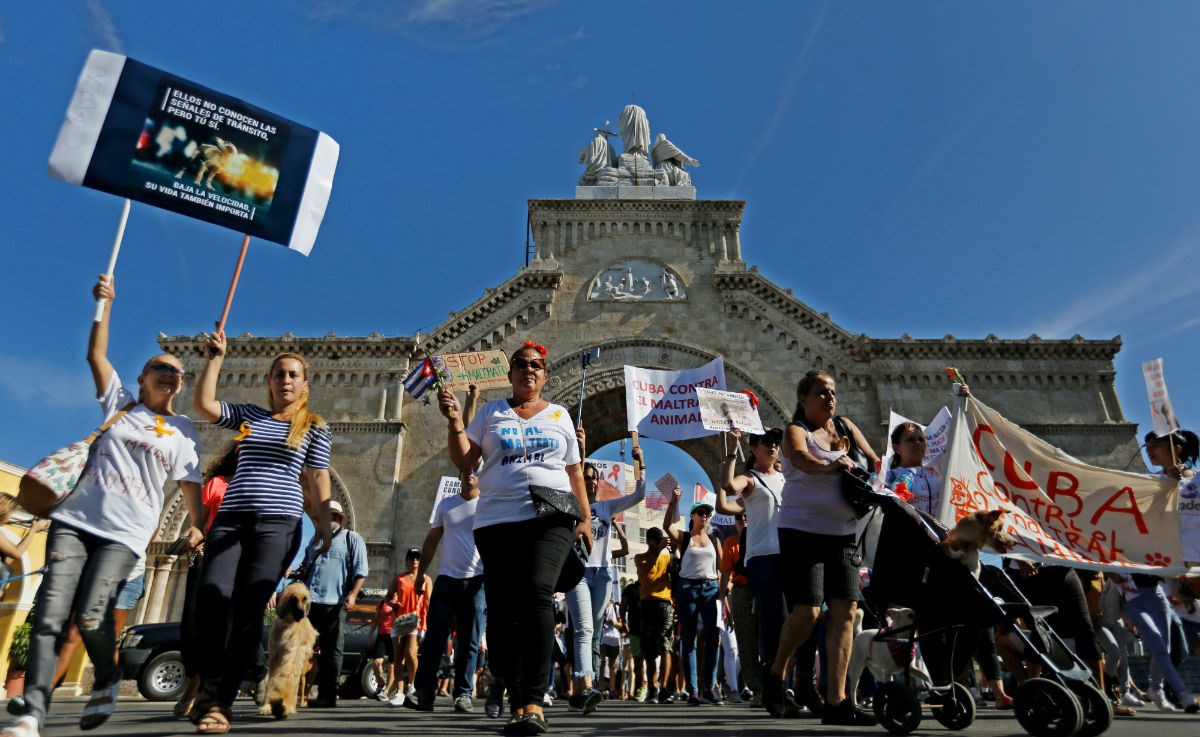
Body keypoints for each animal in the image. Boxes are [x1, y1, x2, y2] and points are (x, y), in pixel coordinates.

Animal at [256, 583, 316, 720]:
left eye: (305, 599)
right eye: (294, 599)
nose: (302, 614)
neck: (288, 625)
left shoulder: (290, 655)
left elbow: (285, 677)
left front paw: (281, 706)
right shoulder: (274, 657)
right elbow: (271, 679)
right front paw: (266, 706)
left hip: (300, 658)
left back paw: (290, 706)